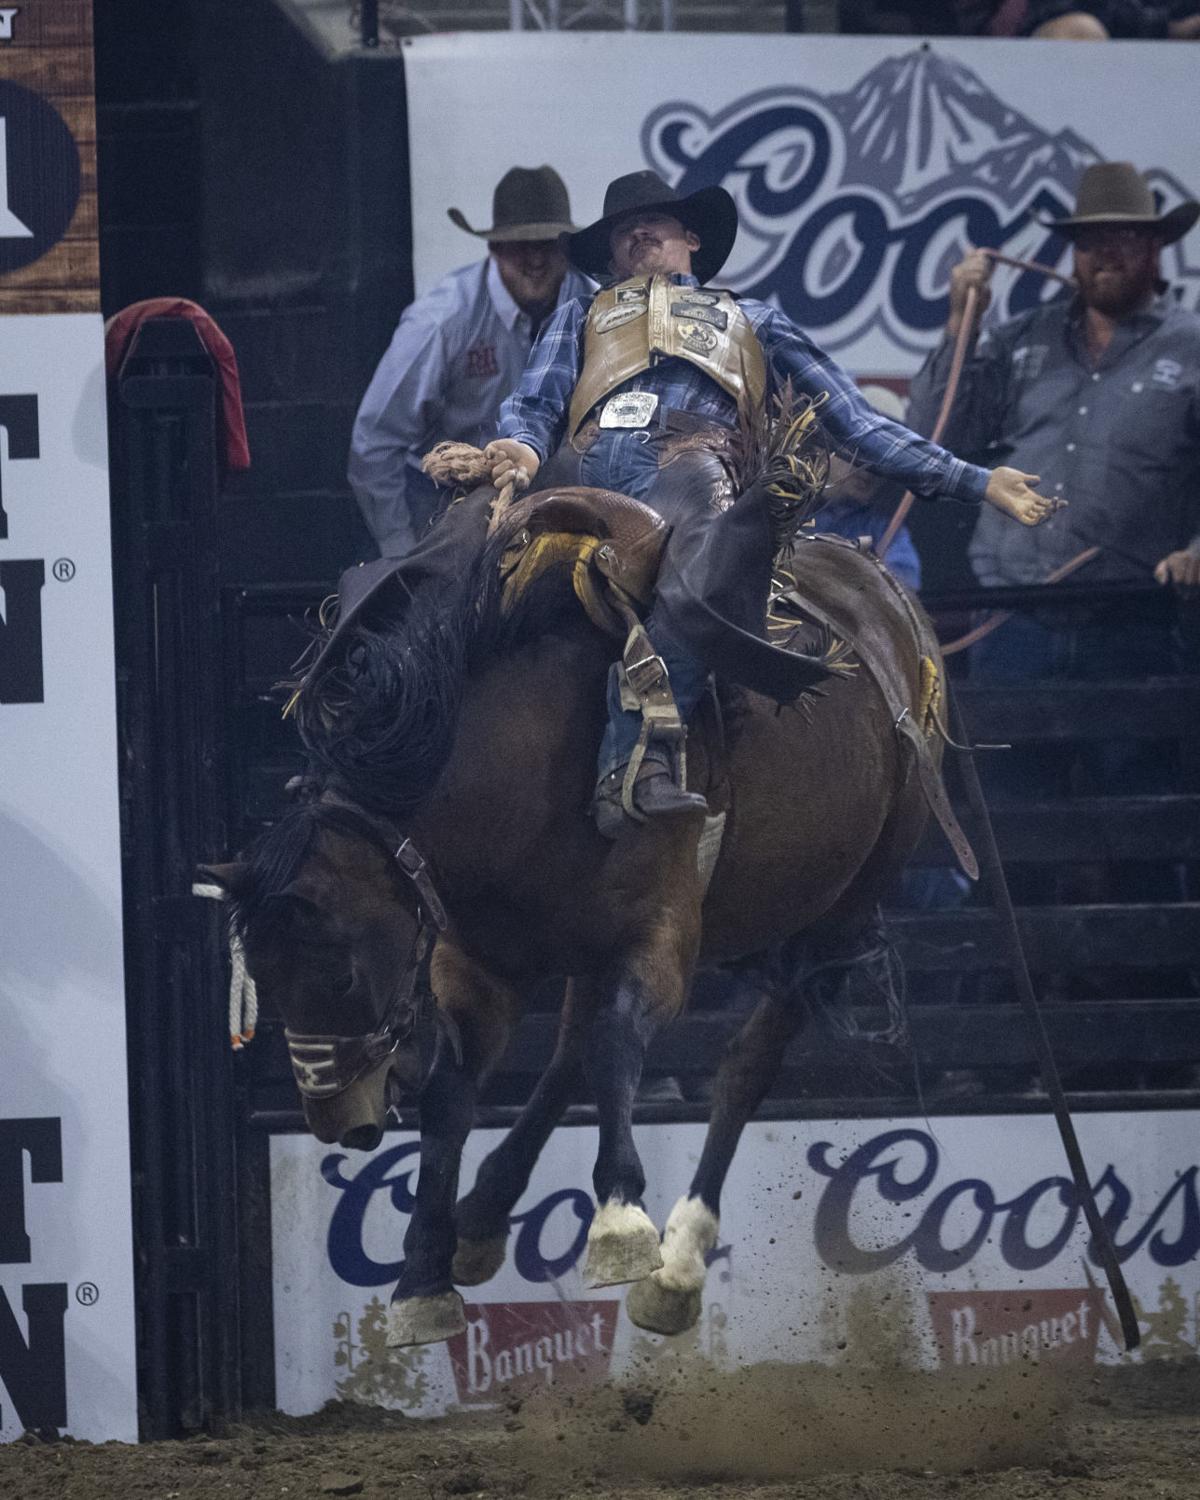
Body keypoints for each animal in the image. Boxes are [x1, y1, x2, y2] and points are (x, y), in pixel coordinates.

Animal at [204, 435, 972, 1350]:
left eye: (341, 966)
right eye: (263, 976)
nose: (337, 1119)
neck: (535, 754)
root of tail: (887, 592)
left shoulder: (661, 935)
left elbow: (616, 1046)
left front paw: (621, 1225)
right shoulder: (481, 960)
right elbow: (456, 1091)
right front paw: (424, 1275)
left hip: (840, 908)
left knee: (743, 1059)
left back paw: (678, 1265)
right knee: (573, 1045)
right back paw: (484, 1216)